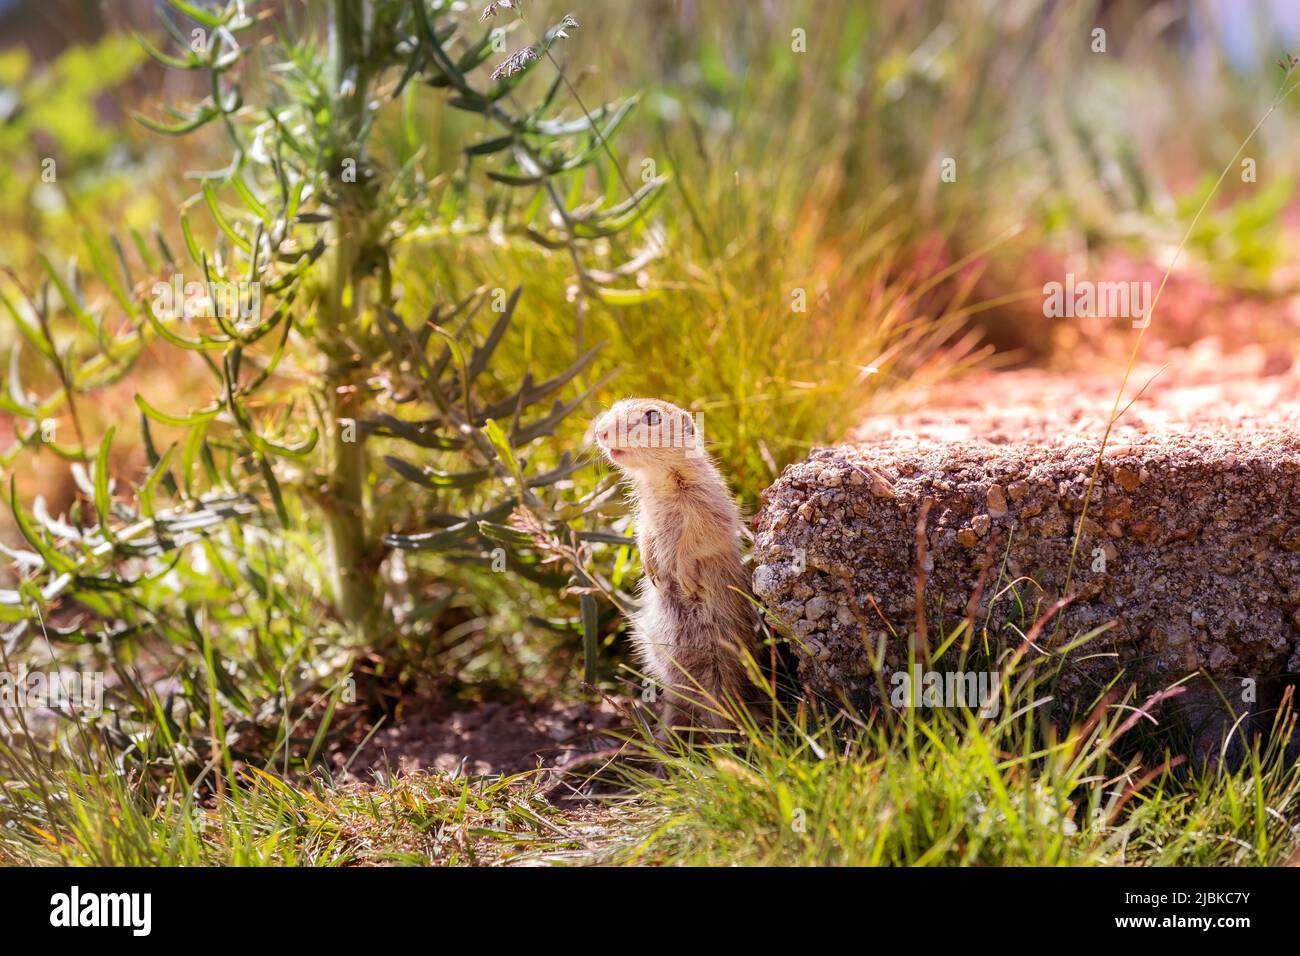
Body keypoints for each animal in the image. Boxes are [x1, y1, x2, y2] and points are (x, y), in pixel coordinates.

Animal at [592, 398, 764, 734]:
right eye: (617, 405)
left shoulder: (706, 506)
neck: (659, 479)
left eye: (651, 417)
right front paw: (651, 568)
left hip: (719, 674)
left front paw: (684, 578)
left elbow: (696, 541)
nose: (600, 431)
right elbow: (644, 533)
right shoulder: (645, 513)